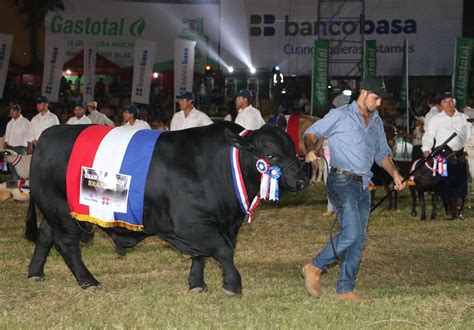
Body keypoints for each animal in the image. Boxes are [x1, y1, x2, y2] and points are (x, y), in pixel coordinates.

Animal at [26, 122, 308, 296]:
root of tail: (48, 134)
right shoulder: (191, 223)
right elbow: (222, 251)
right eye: (270, 156)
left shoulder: (214, 223)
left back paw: (35, 273)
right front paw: (232, 285)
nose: (302, 180)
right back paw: (88, 280)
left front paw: (196, 284)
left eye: (293, 149)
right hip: (62, 211)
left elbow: (201, 254)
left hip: (55, 211)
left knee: (45, 236)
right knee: (67, 245)